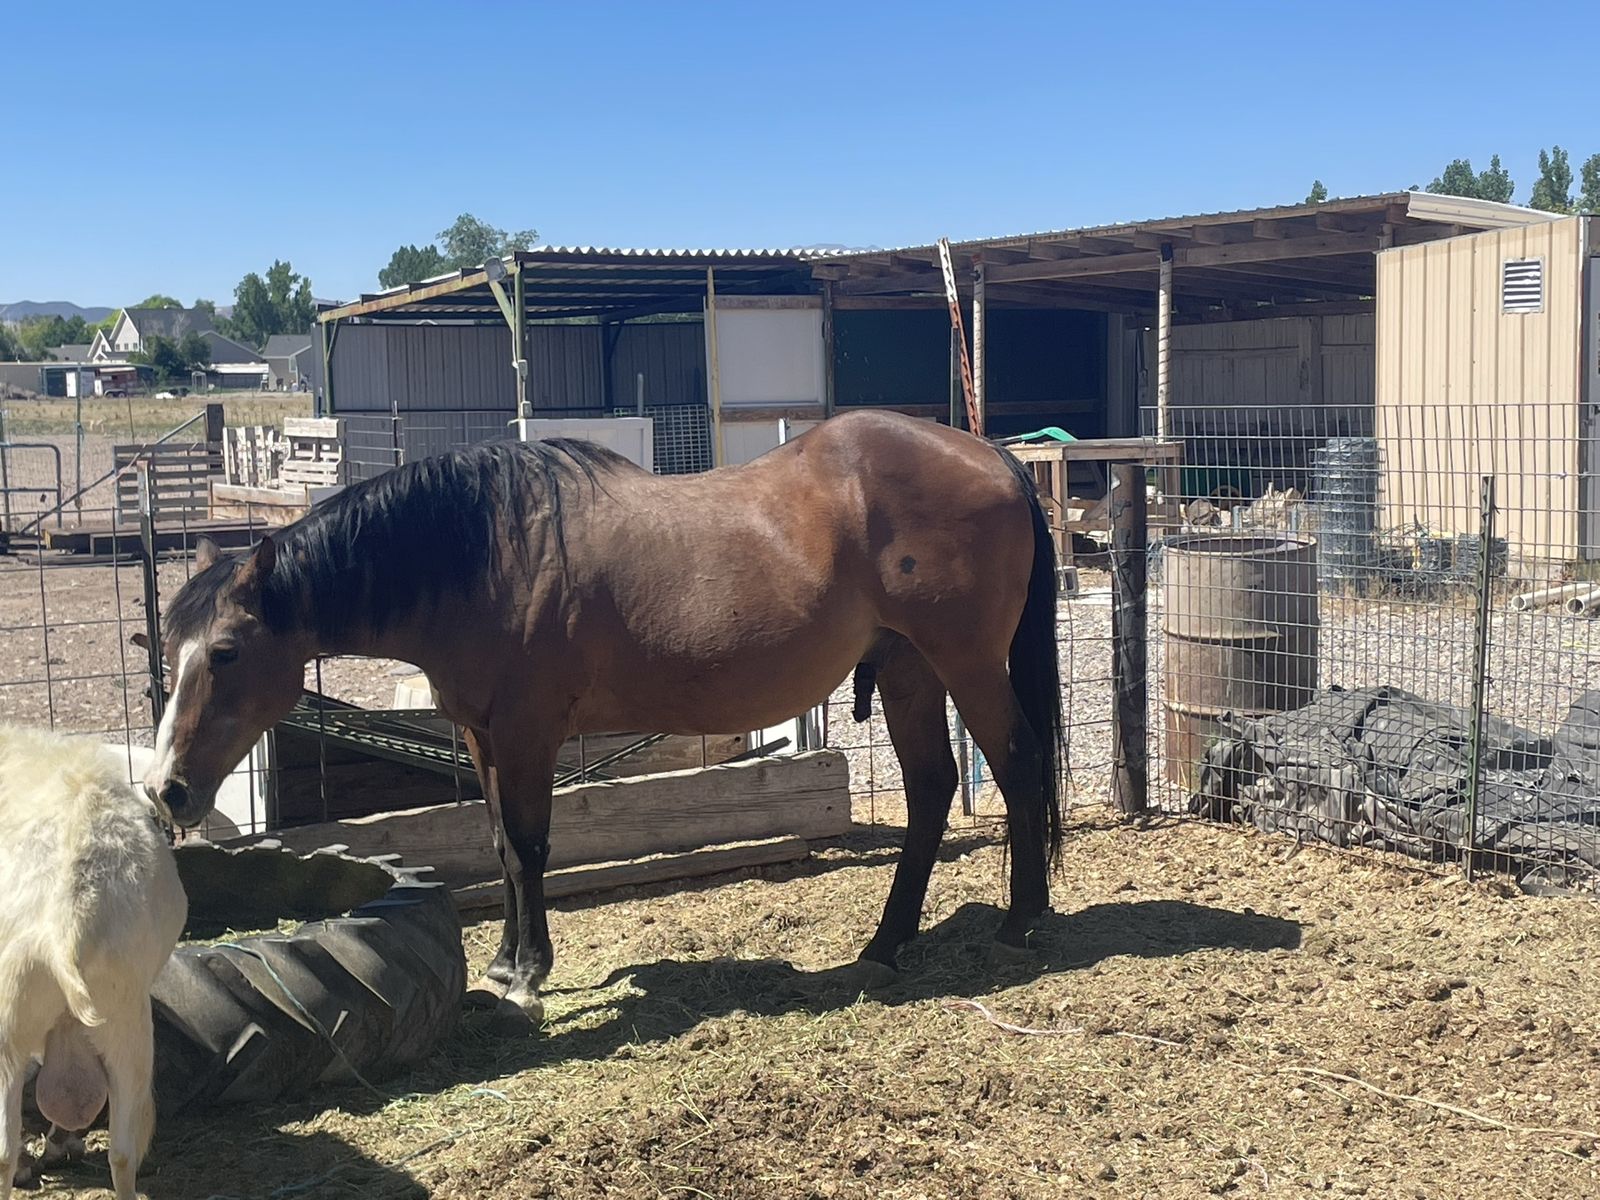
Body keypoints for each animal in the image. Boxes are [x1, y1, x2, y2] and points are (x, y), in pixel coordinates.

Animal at [143, 409, 1065, 1029]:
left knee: (1017, 764)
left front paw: (528, 971)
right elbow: (498, 848)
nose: (168, 790)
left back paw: (1021, 922)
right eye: (170, 644)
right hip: (910, 670)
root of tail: (992, 455)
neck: (482, 557)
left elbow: (529, 847)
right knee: (933, 789)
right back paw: (884, 946)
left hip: (965, 664)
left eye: (225, 652)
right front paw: (504, 962)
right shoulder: (481, 736)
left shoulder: (527, 735)